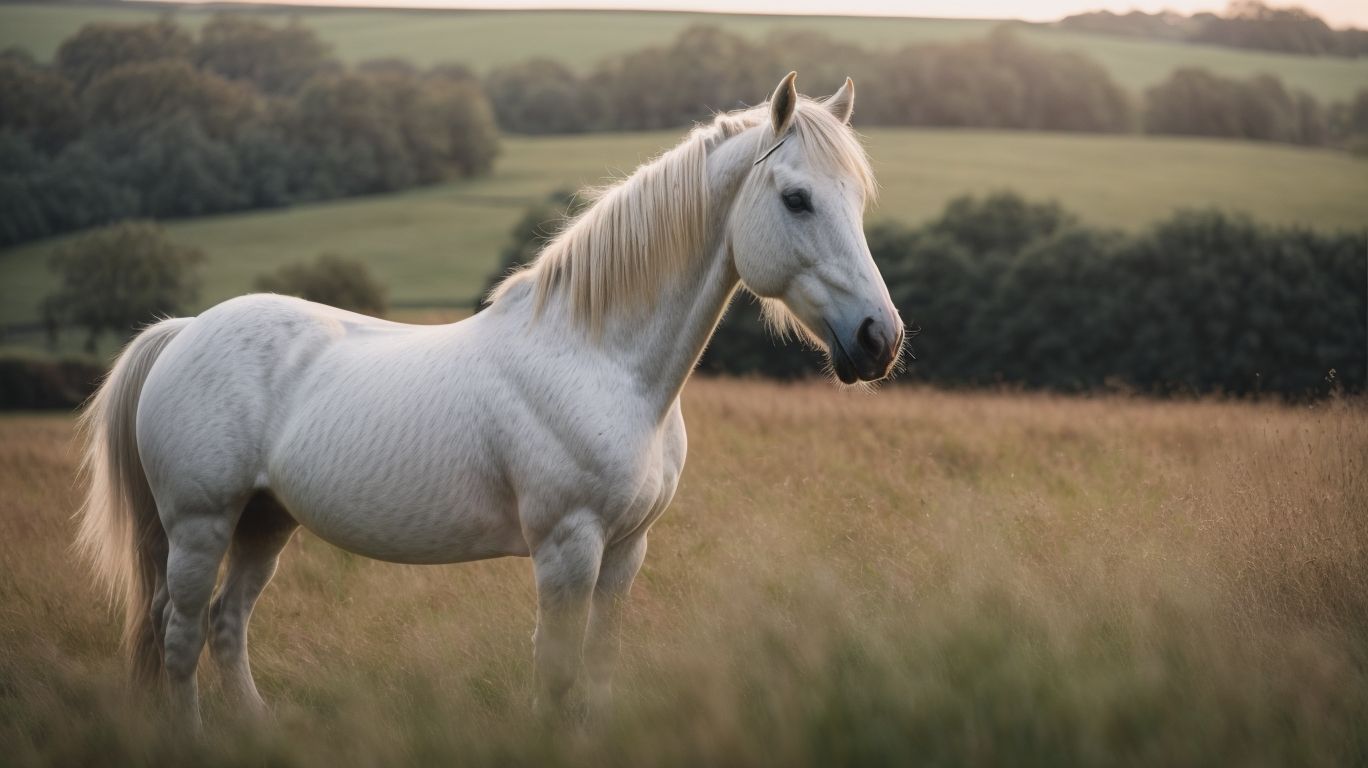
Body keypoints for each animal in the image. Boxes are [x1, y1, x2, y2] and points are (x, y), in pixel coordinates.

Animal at [75, 71, 904, 726]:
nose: (880, 339)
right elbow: (556, 676)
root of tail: (185, 331)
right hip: (200, 524)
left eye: (858, 197)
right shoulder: (568, 550)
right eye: (797, 199)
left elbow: (599, 670)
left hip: (264, 520)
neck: (599, 361)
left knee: (226, 624)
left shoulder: (626, 551)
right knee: (180, 635)